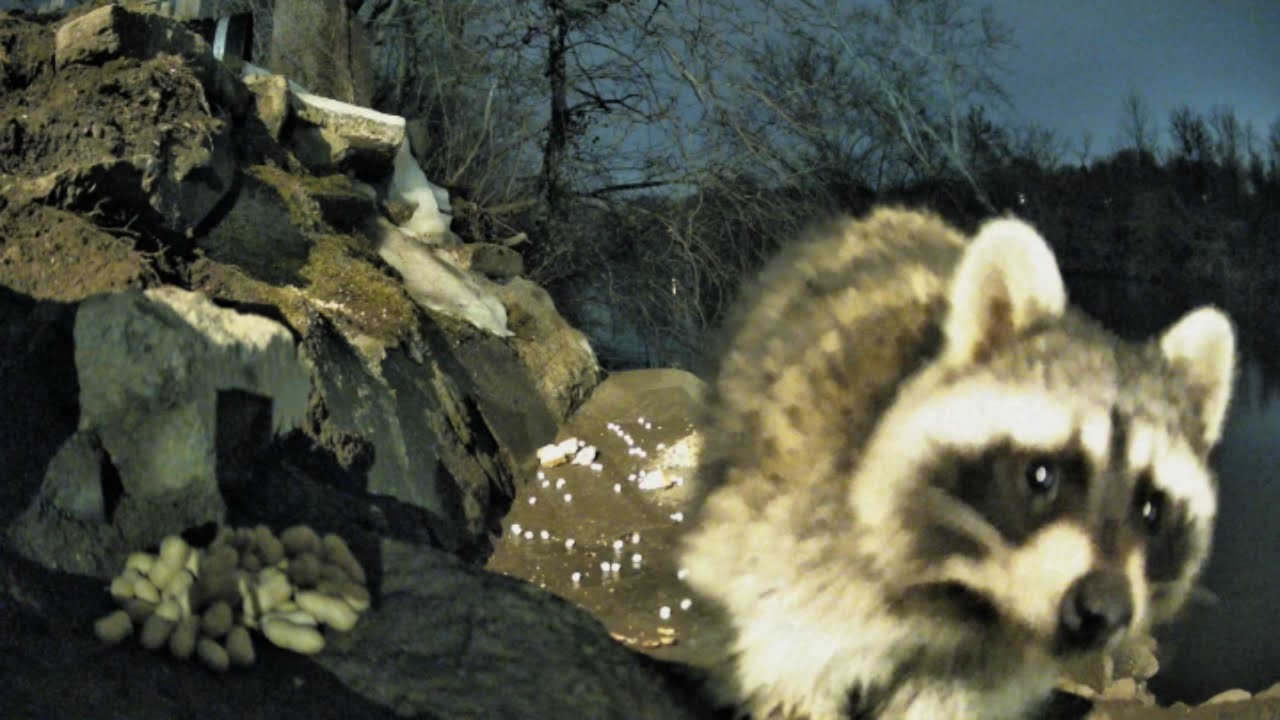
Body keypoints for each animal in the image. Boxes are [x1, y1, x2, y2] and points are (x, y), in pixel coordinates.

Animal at [679, 208, 1235, 720]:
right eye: (1041, 476)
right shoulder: (797, 540)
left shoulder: (982, 664)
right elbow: (788, 667)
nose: (1103, 611)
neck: (971, 593)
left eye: (1151, 509)